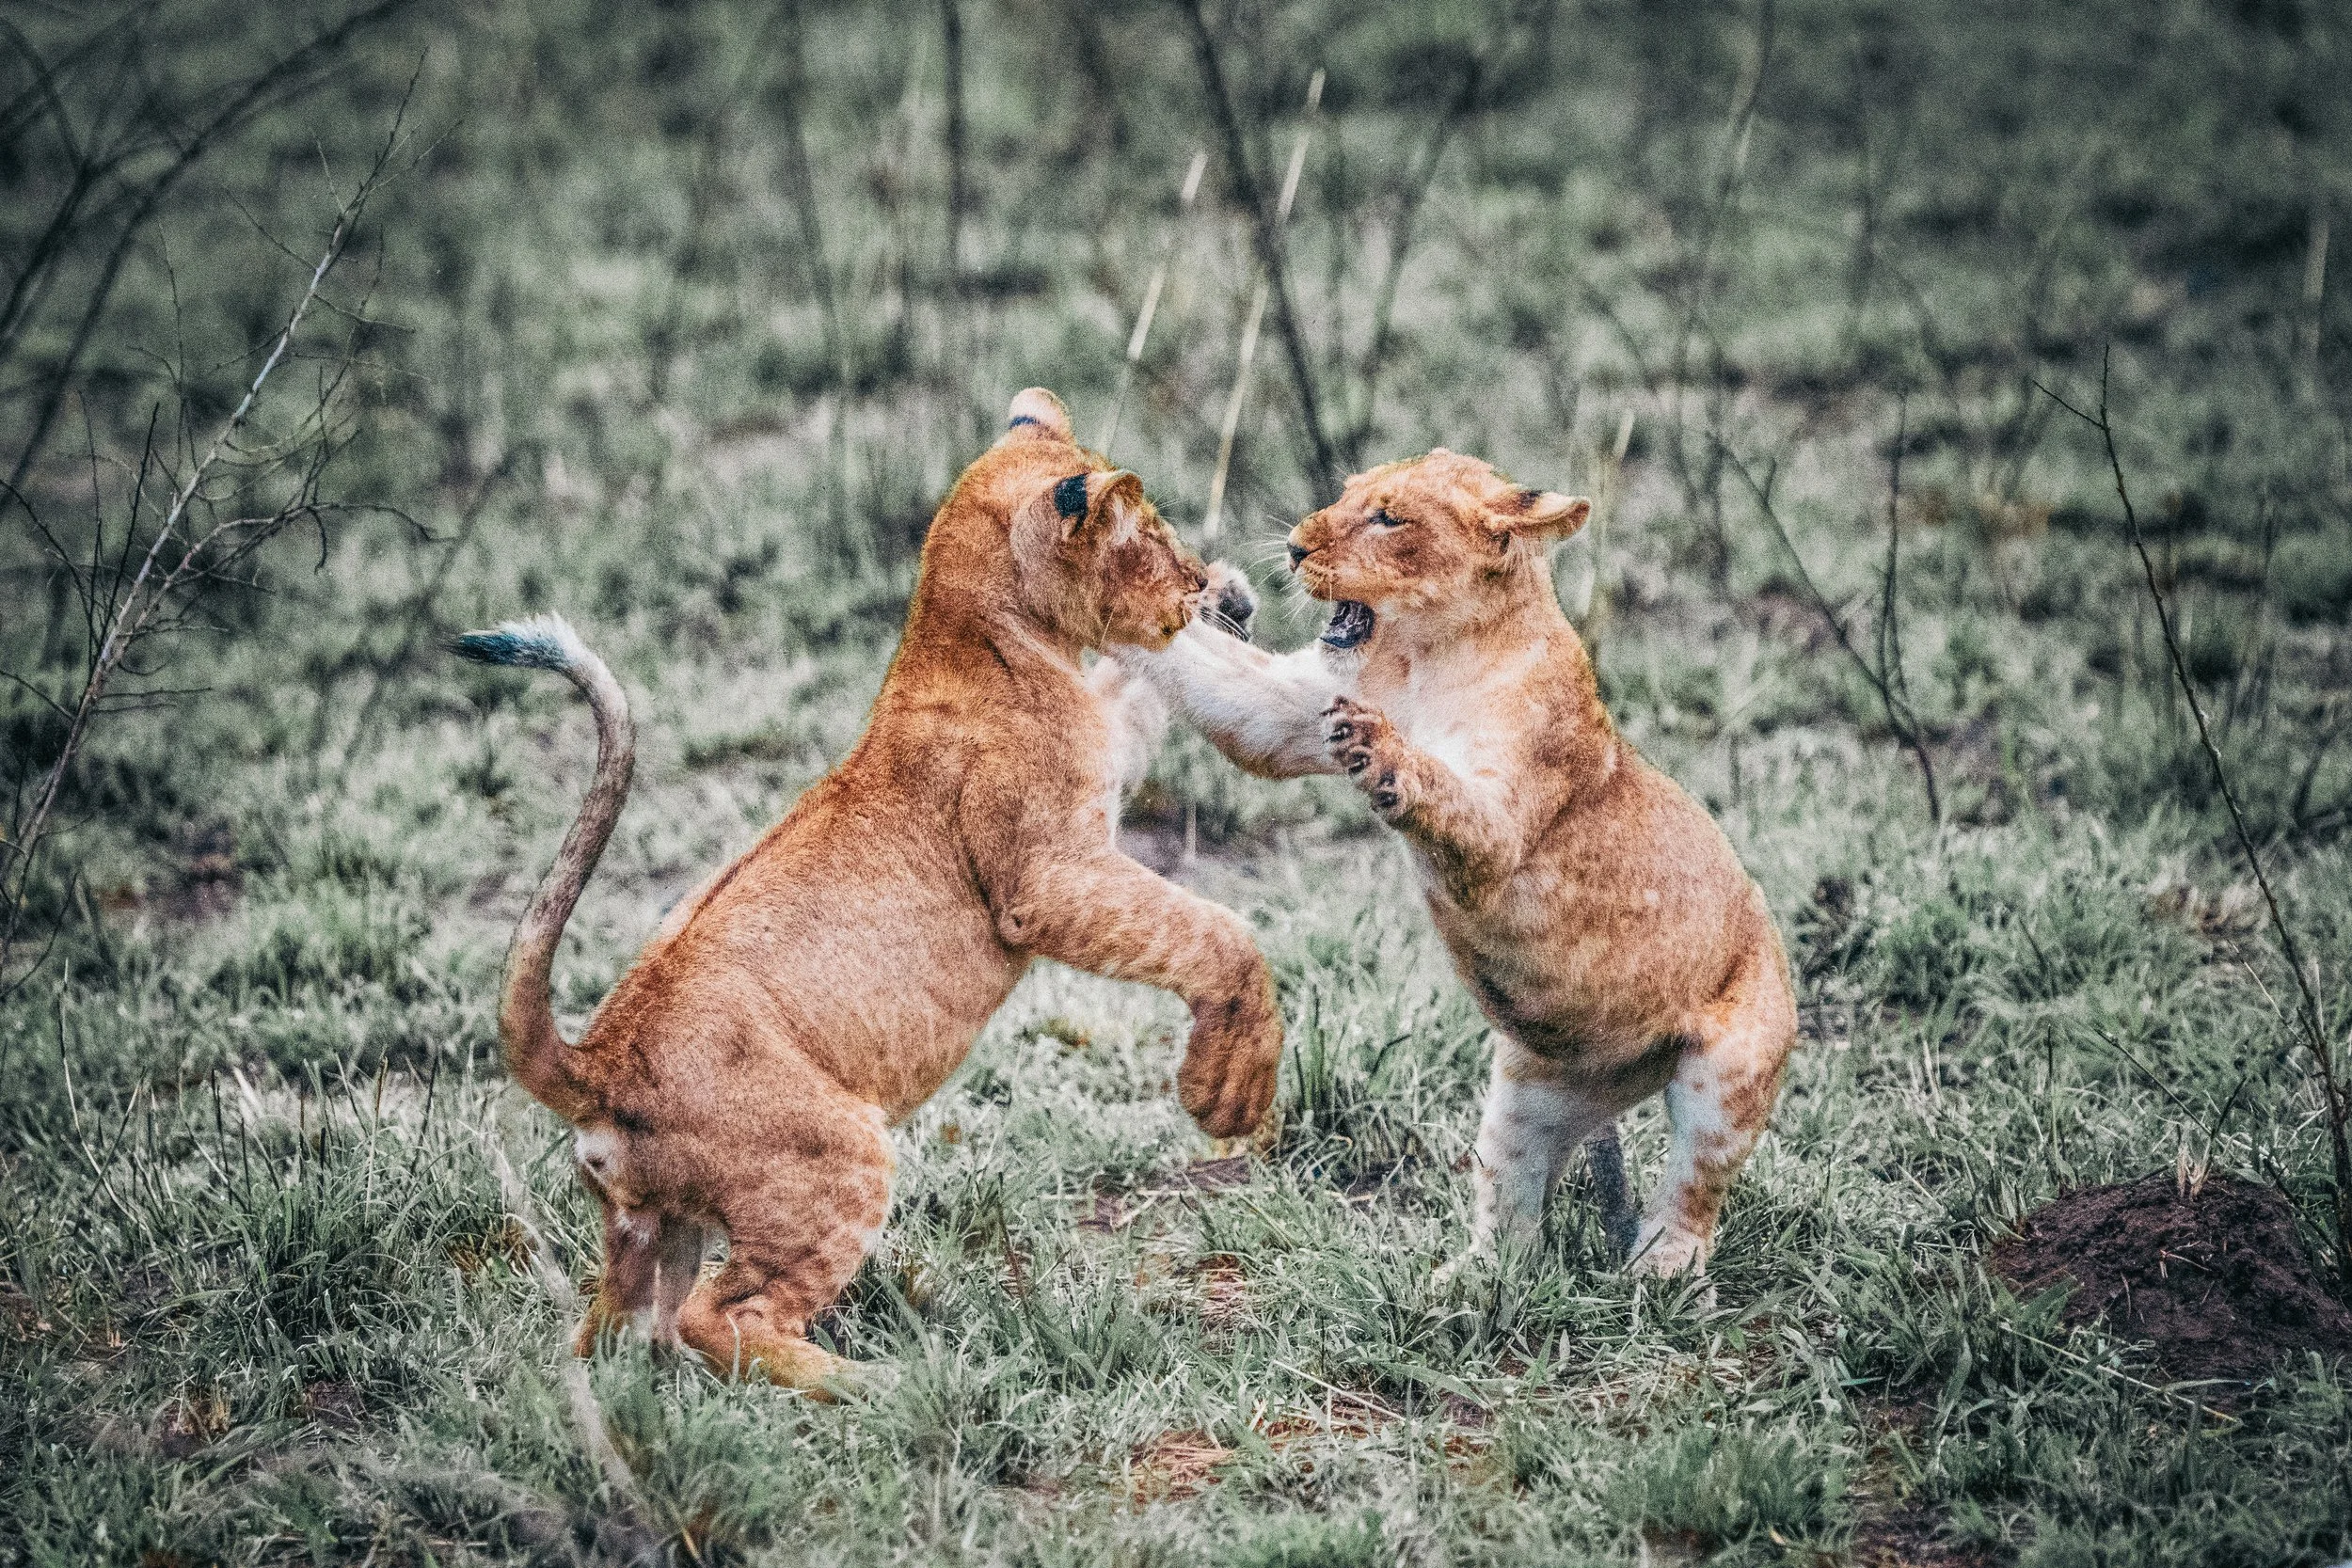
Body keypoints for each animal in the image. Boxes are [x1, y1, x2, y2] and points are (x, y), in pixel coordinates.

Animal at [453, 389, 1283, 1391]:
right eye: (1153, 535)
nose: (1201, 580)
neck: (974, 635)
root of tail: (598, 1058)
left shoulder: (1099, 769)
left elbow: (1136, 694)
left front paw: (1231, 596)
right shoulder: (1046, 879)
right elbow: (1214, 929)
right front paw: (1227, 1093)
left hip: (649, 1230)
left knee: (615, 1336)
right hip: (837, 1155)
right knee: (720, 1316)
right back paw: (883, 1386)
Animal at [1113, 449, 1796, 1279]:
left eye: (1388, 517)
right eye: (1346, 495)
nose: (1296, 548)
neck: (1424, 657)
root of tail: (1623, 1067)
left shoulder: (1506, 820)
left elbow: (1446, 793)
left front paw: (1385, 750)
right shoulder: (1289, 709)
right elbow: (1219, 682)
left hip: (1730, 1071)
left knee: (1697, 1187)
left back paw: (1660, 1265)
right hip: (1531, 1089)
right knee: (1516, 1210)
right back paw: (1467, 1282)